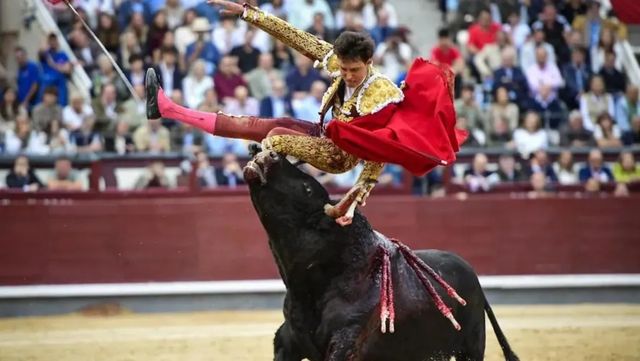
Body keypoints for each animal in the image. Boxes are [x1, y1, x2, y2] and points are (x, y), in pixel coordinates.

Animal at [242, 150, 516, 360]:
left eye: (307, 188)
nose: (268, 154)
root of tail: (472, 275)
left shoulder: (346, 344)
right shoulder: (287, 342)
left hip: (470, 345)